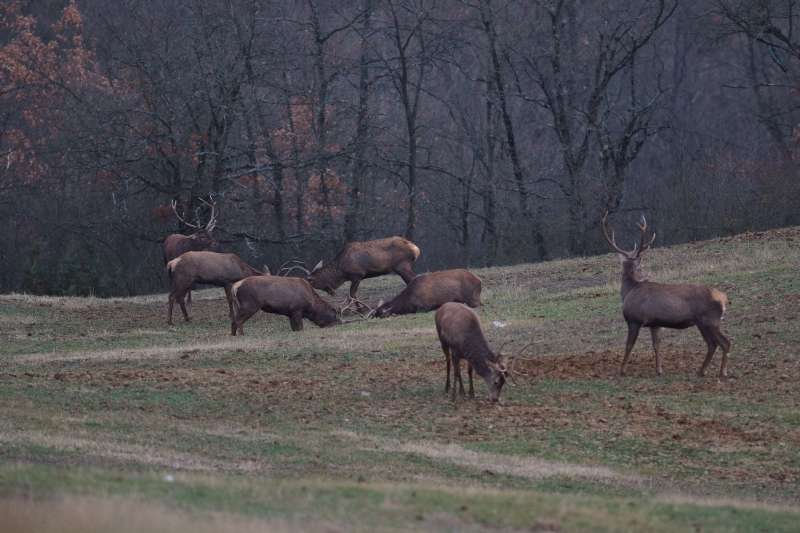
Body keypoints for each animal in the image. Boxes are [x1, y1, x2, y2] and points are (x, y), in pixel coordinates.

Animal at [600, 212, 732, 378]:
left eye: (639, 266)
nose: (643, 276)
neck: (630, 290)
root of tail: (723, 298)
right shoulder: (655, 323)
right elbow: (656, 345)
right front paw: (659, 370)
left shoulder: (634, 319)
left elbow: (629, 345)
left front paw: (622, 370)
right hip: (704, 322)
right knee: (713, 344)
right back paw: (702, 371)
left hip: (709, 320)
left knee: (724, 342)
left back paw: (721, 372)